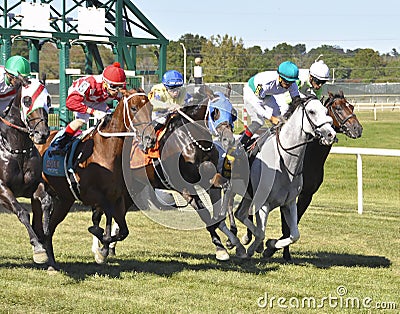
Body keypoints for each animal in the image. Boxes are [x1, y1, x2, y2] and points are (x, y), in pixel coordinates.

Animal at [0, 78, 50, 262]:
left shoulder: (33, 186)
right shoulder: (2, 188)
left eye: (48, 100)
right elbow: (21, 211)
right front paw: (38, 247)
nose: (42, 134)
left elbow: (46, 201)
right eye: (27, 100)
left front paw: (44, 233)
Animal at [37, 89, 153, 270]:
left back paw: (51, 263)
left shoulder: (118, 198)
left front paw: (103, 250)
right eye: (134, 108)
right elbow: (102, 218)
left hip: (64, 199)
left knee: (51, 227)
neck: (105, 151)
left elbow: (123, 231)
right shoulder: (91, 195)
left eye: (151, 107)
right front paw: (100, 244)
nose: (150, 138)